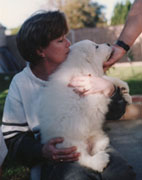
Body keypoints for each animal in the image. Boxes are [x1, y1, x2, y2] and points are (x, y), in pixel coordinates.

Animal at [36, 40, 131, 172]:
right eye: (96, 46)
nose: (108, 44)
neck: (80, 66)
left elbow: (106, 79)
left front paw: (124, 88)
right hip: (71, 145)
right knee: (83, 158)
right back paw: (100, 161)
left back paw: (100, 145)